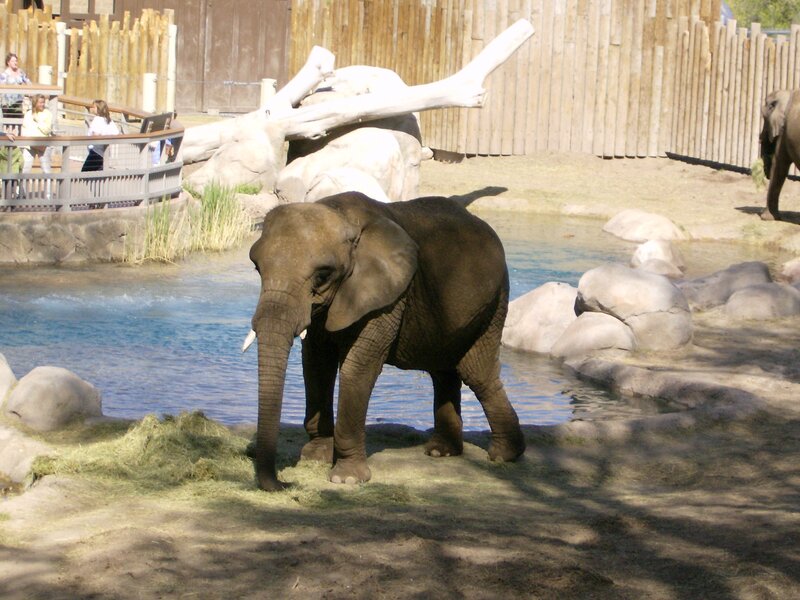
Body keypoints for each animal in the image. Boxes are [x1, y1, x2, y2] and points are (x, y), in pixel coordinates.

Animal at [244, 191, 526, 490]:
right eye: (257, 268)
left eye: (322, 275)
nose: (285, 483)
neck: (340, 214)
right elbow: (316, 363)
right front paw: (316, 457)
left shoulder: (388, 296)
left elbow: (357, 367)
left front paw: (345, 479)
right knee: (443, 371)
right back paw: (441, 452)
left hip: (495, 302)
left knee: (477, 372)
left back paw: (504, 455)